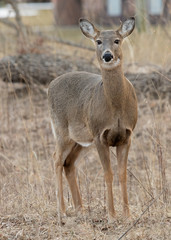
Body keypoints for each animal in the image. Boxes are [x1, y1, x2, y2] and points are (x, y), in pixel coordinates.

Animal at [47, 16, 138, 221]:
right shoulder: (99, 135)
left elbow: (122, 173)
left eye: (117, 40)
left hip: (80, 140)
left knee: (68, 164)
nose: (107, 55)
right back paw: (62, 210)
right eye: (98, 41)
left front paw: (127, 214)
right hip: (61, 130)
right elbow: (108, 173)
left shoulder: (127, 135)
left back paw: (80, 208)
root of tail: (49, 86)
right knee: (56, 159)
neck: (116, 108)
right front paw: (111, 214)